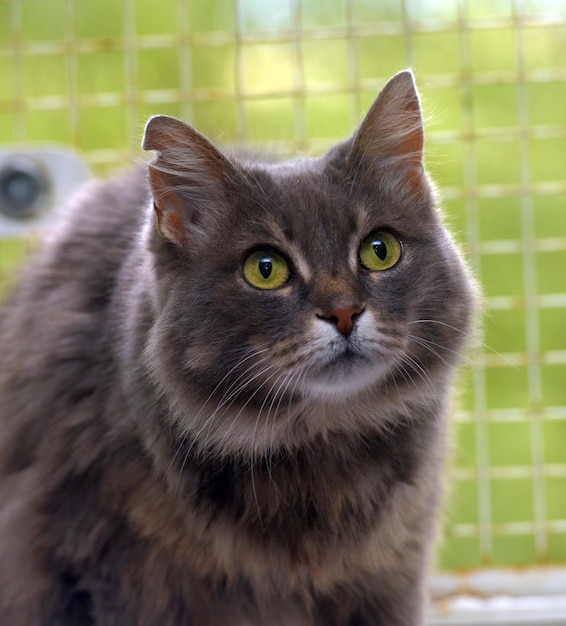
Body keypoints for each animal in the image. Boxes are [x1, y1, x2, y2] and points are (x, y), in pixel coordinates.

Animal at [0, 70, 480, 620]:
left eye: (380, 250)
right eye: (265, 268)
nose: (343, 313)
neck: (320, 442)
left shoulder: (393, 570)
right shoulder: (108, 561)